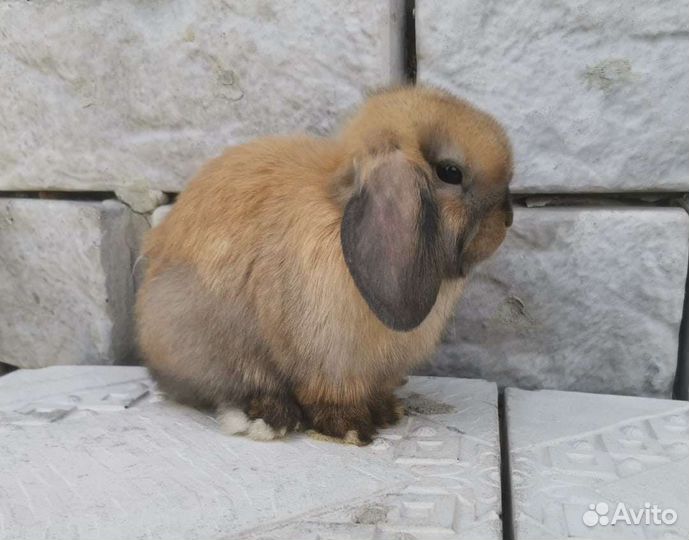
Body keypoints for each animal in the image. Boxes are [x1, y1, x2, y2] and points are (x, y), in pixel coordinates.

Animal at [136, 86, 513, 445]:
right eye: (450, 172)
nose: (508, 218)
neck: (339, 209)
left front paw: (387, 411)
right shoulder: (328, 361)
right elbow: (329, 397)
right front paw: (350, 428)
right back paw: (271, 418)